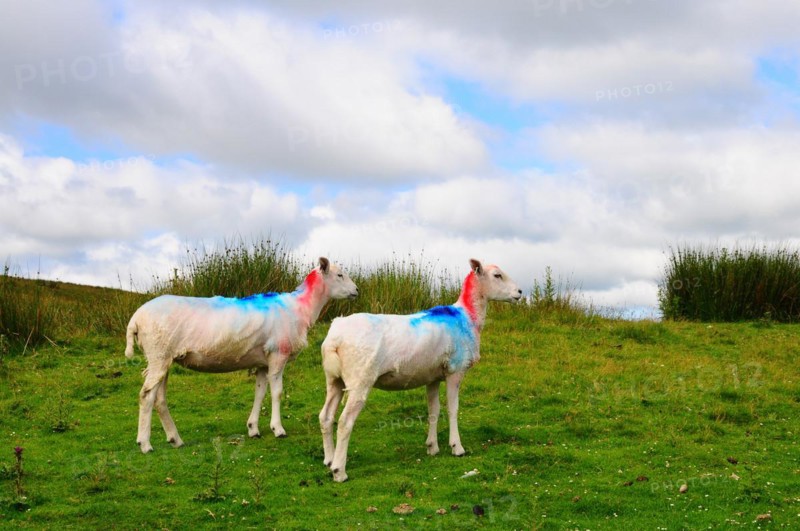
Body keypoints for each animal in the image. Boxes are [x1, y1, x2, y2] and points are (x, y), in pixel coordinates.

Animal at [125, 257, 358, 453]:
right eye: (339, 275)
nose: (356, 290)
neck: (301, 307)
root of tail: (135, 318)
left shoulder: (263, 361)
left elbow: (260, 393)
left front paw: (253, 428)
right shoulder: (278, 354)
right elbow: (277, 392)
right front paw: (278, 429)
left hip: (163, 358)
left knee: (159, 398)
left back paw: (175, 439)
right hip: (159, 353)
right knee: (146, 396)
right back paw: (145, 444)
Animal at [319, 258, 521, 482]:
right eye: (497, 275)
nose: (519, 292)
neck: (467, 317)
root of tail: (335, 337)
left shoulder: (432, 376)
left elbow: (434, 411)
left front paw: (432, 447)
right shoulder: (455, 370)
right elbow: (453, 409)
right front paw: (457, 447)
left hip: (334, 379)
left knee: (325, 417)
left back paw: (329, 461)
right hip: (360, 379)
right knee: (344, 422)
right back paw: (339, 471)